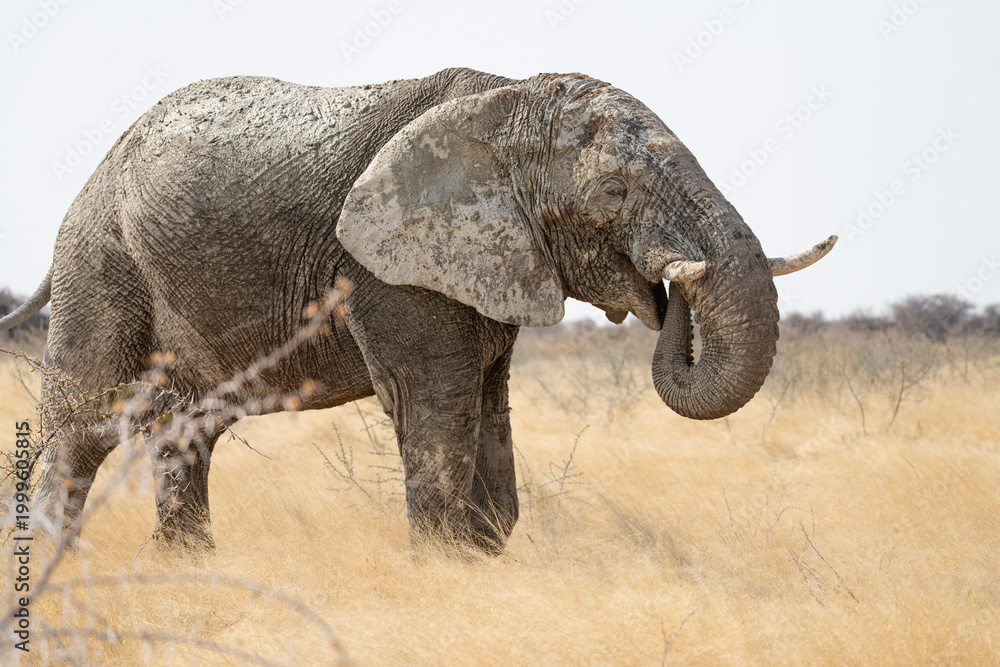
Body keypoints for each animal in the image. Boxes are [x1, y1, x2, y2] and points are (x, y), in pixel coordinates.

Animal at [0, 67, 835, 552]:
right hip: (100, 258)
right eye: (613, 192)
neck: (507, 100)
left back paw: (187, 563)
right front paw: (443, 568)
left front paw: (485, 556)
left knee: (188, 428)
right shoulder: (385, 266)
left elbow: (487, 405)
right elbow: (435, 406)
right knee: (84, 423)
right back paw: (53, 558)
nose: (669, 291)